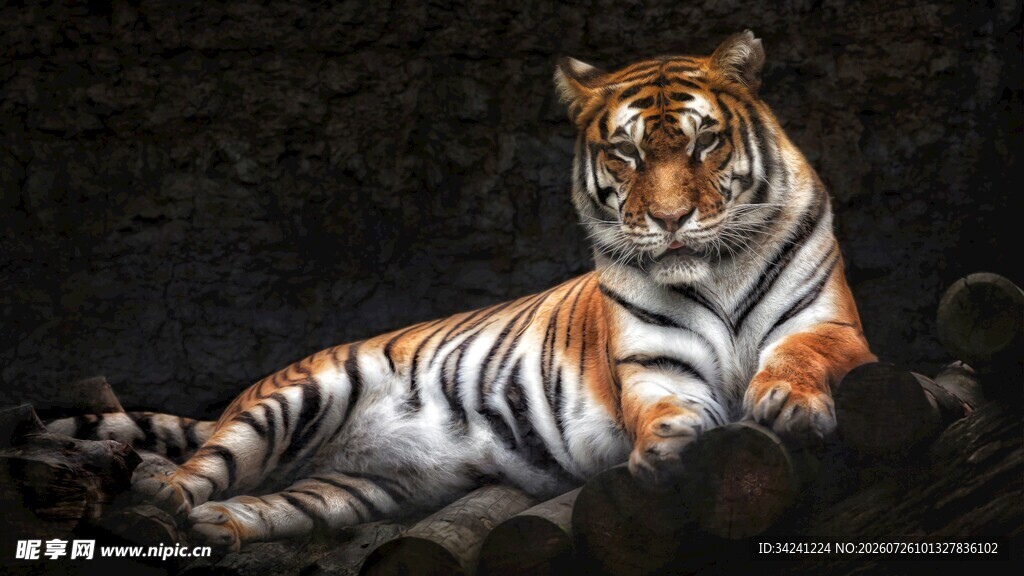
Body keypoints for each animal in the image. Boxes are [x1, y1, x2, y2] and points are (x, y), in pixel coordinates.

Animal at [47, 30, 875, 551]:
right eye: (625, 153)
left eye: (705, 141)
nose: (671, 221)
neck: (717, 270)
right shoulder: (653, 366)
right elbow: (668, 409)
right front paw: (671, 448)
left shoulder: (832, 327)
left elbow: (800, 357)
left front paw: (785, 400)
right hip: (292, 401)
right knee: (196, 470)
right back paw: (158, 511)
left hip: (356, 489)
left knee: (271, 500)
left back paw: (222, 527)